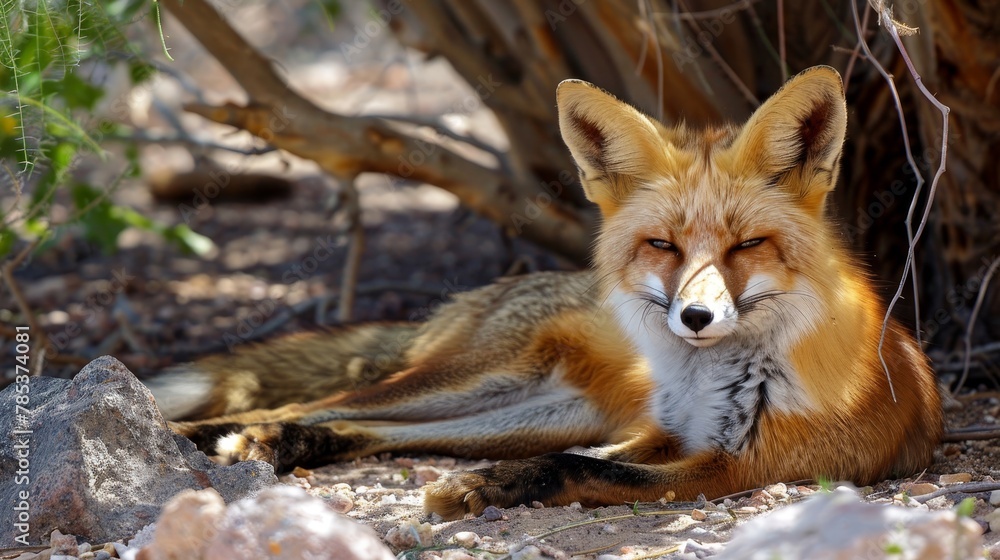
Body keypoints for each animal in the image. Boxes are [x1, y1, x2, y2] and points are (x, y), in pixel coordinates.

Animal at [145, 66, 940, 520]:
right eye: (664, 245)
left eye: (747, 246)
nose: (694, 316)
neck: (706, 384)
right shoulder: (663, 433)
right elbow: (595, 464)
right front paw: (488, 489)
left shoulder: (737, 462)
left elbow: (584, 465)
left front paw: (481, 489)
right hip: (480, 377)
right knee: (307, 404)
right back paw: (225, 439)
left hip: (534, 409)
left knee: (367, 428)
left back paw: (275, 445)